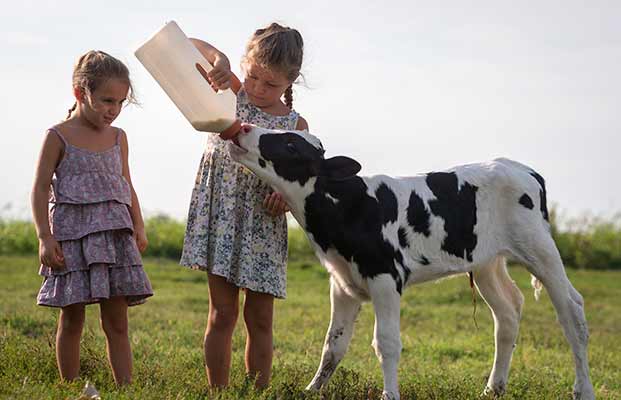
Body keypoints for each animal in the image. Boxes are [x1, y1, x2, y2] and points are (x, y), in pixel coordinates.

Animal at [226, 126, 592, 400]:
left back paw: (582, 390)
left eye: (291, 144)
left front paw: (389, 395)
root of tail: (520, 167)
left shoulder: (386, 276)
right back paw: (493, 388)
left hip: (540, 249)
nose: (243, 128)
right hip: (486, 261)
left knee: (572, 312)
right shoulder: (342, 282)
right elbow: (333, 344)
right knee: (507, 313)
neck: (348, 208)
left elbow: (386, 343)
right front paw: (311, 390)